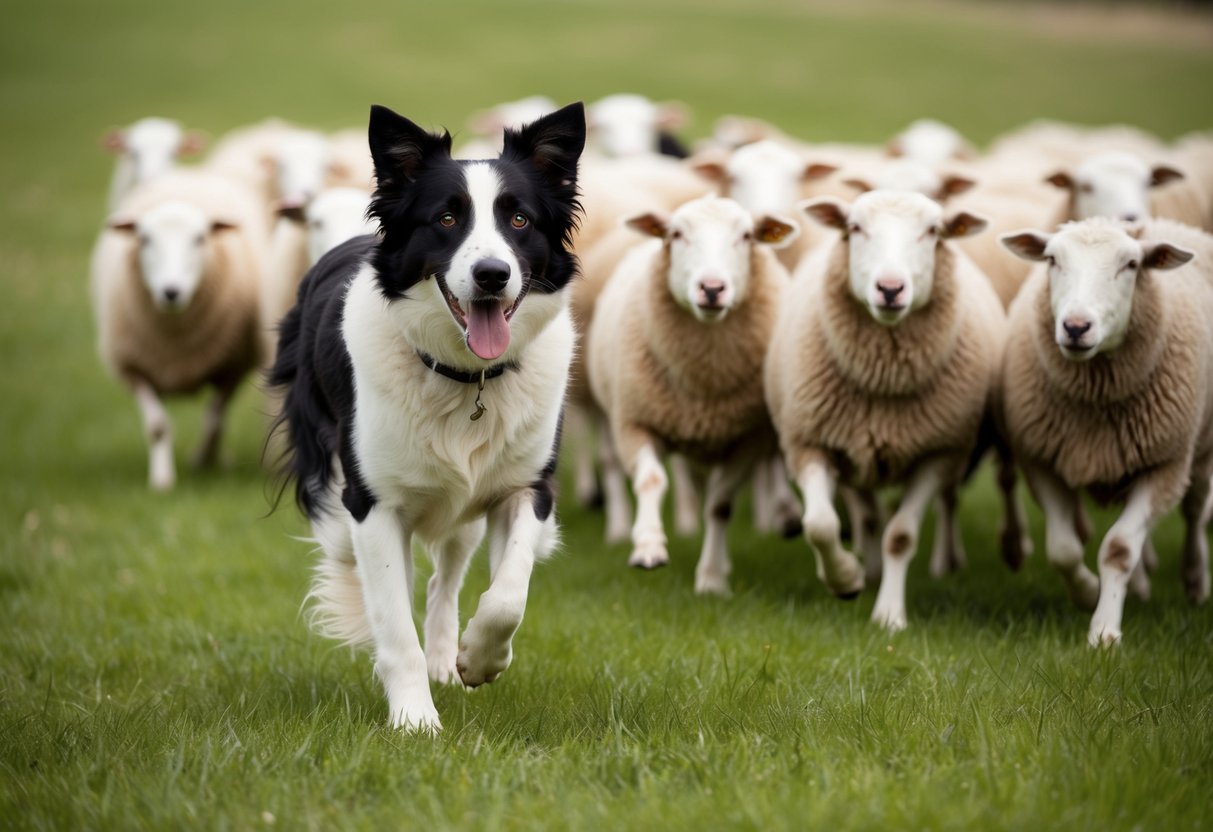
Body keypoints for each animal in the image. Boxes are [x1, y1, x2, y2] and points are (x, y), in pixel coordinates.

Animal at [90, 170, 267, 490]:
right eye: (144, 238)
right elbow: (158, 426)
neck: (176, 340)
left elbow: (214, 419)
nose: (171, 291)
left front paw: (203, 461)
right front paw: (162, 480)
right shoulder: (134, 368)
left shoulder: (233, 367)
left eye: (200, 238)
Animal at [586, 195, 799, 594]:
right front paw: (648, 547)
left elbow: (720, 505)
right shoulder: (634, 421)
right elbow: (652, 480)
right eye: (676, 235)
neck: (704, 380)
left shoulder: (748, 438)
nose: (712, 288)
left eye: (746, 236)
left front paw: (712, 579)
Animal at [765, 191, 1006, 630]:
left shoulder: (937, 454)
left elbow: (901, 536)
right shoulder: (809, 442)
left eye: (932, 232)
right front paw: (845, 580)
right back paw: (865, 569)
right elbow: (820, 525)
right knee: (864, 514)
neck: (883, 383)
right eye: (855, 228)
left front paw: (889, 615)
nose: (890, 289)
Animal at [999, 217, 1213, 646]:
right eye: (1052, 260)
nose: (1076, 327)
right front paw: (1088, 592)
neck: (1094, 400)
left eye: (1131, 265)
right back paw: (1141, 587)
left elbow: (1118, 549)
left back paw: (1196, 581)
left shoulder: (1164, 466)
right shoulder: (1043, 461)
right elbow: (1063, 548)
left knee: (1196, 512)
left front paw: (1104, 633)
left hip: (1199, 449)